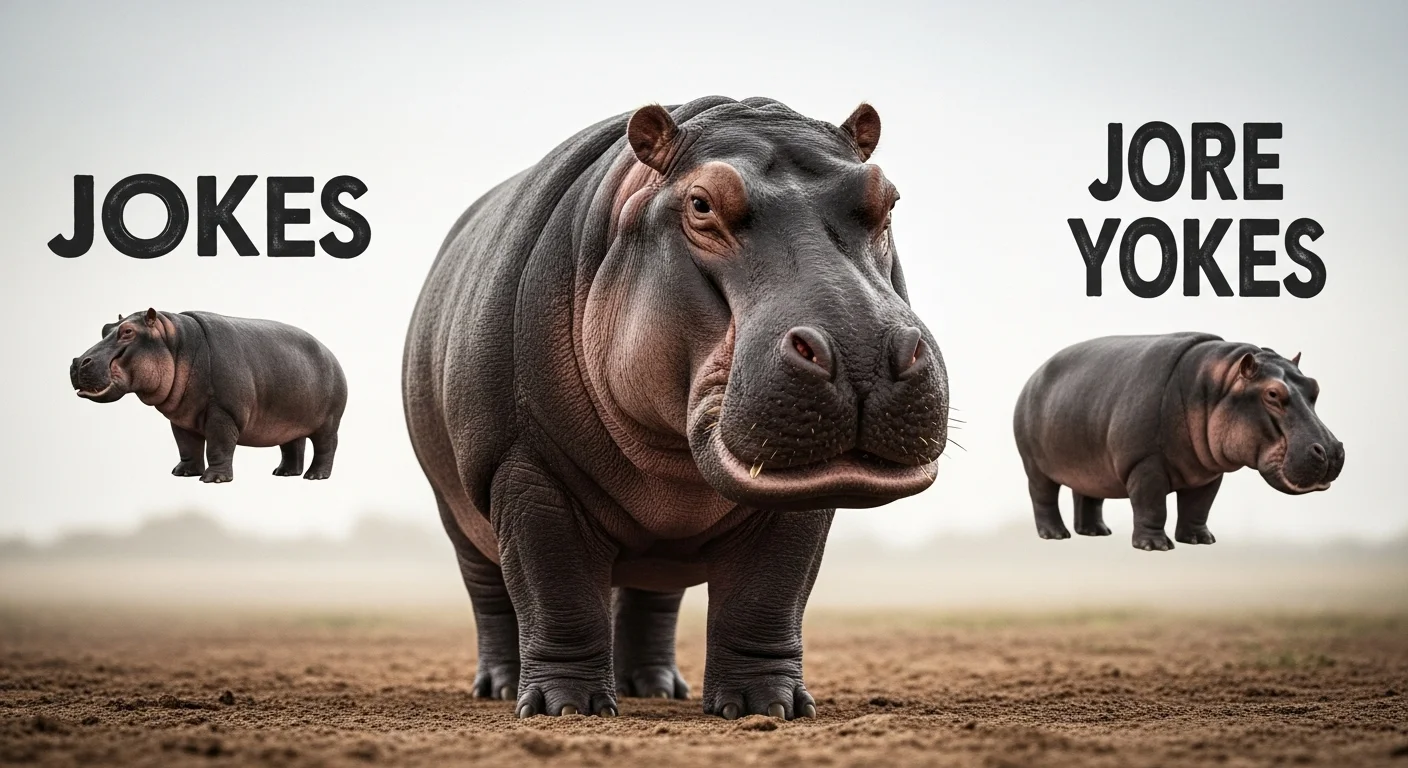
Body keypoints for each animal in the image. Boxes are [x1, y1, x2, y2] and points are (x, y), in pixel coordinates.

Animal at [70, 308, 347, 483]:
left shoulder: (223, 413)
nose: (77, 361)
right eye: (105, 328)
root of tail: (330, 352)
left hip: (329, 422)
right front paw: (182, 474)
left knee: (326, 447)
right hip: (290, 420)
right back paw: (284, 473)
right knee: (293, 445)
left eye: (128, 331)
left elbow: (218, 446)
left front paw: (214, 480)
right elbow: (187, 446)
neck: (176, 344)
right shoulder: (181, 418)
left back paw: (315, 476)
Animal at [402, 97, 949, 720]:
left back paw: (656, 688)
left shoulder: (797, 494)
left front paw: (767, 707)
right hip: (457, 513)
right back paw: (498, 685)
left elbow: (768, 595)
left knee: (652, 599)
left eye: (887, 199)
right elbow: (556, 589)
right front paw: (568, 709)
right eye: (701, 203)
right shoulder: (524, 467)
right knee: (491, 595)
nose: (861, 352)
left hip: (659, 545)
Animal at [1013, 333, 1344, 550]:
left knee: (1088, 495)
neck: (1217, 386)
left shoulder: (1208, 472)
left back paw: (1097, 533)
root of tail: (1033, 376)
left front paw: (1200, 541)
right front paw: (1156, 546)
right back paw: (1056, 535)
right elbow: (1152, 505)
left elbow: (1198, 506)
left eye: (1314, 387)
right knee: (1042, 496)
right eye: (1272, 394)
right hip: (1034, 465)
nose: (1331, 450)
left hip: (1089, 465)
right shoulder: (1144, 464)